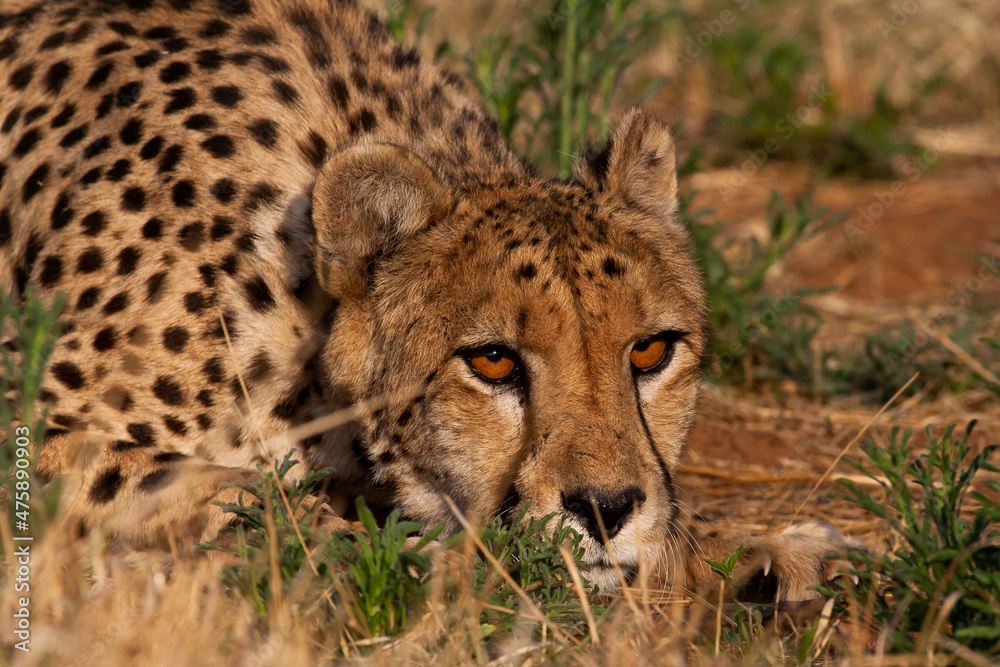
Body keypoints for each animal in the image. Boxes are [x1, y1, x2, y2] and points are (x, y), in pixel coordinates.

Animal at [0, 0, 863, 598]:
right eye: (493, 361)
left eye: (651, 350)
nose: (605, 507)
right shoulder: (36, 426)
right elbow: (253, 503)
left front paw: (771, 562)